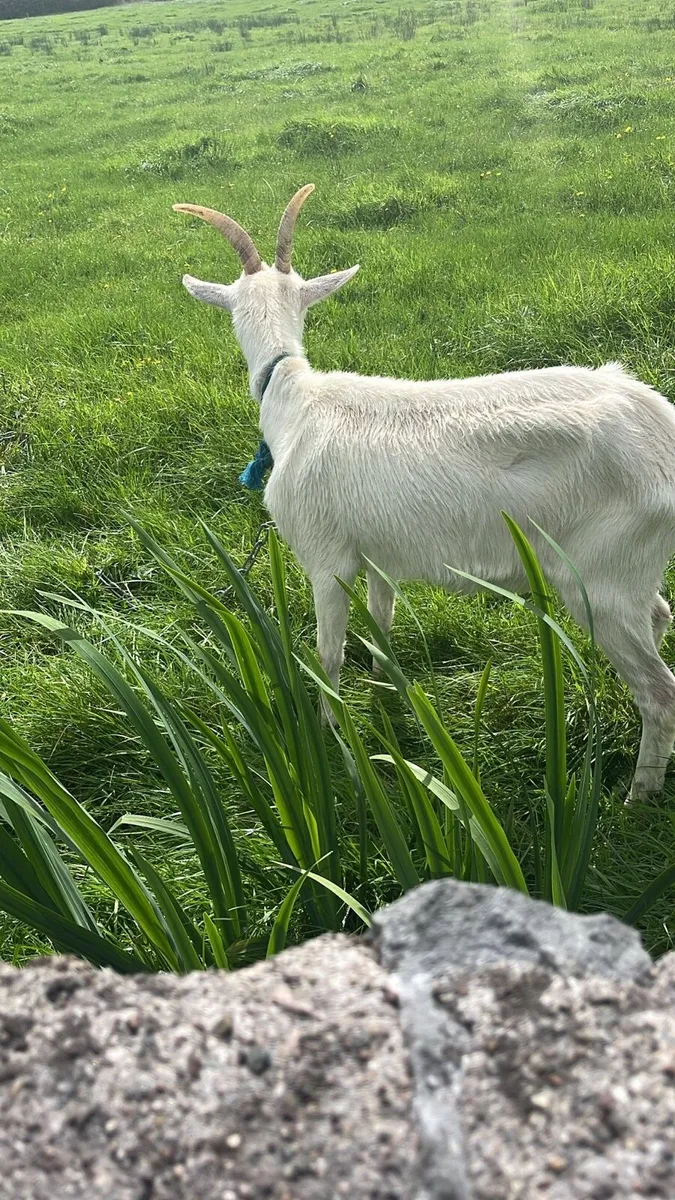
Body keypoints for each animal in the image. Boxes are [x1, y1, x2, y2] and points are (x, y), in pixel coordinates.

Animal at [174, 184, 675, 802]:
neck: (293, 397)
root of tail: (662, 427)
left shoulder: (326, 556)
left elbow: (328, 653)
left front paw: (331, 735)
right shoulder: (376, 555)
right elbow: (380, 626)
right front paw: (387, 700)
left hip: (603, 574)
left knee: (660, 690)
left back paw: (637, 798)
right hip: (628, 567)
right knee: (658, 615)